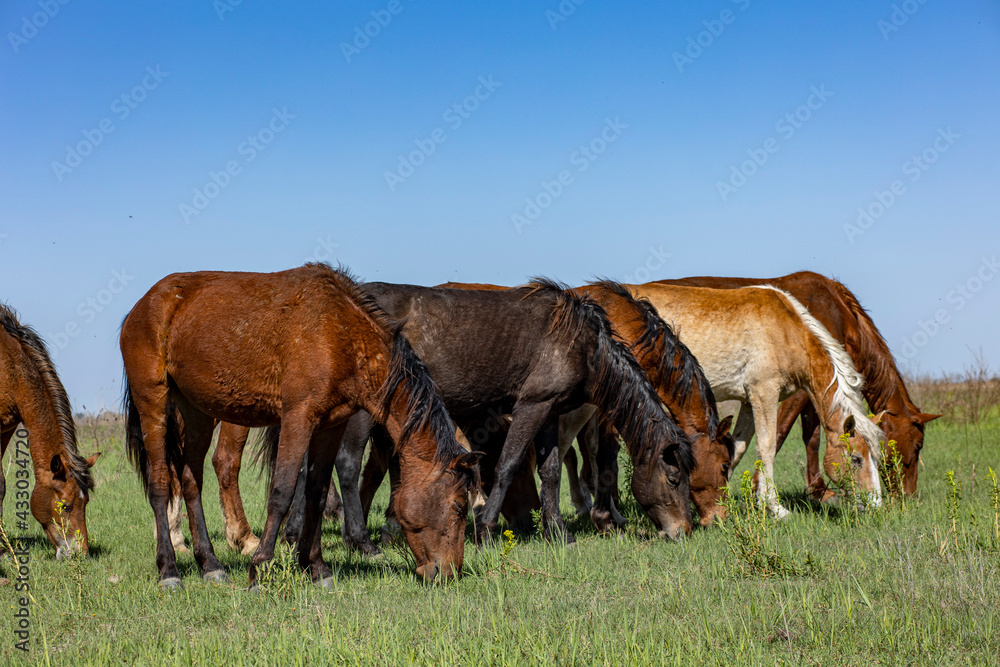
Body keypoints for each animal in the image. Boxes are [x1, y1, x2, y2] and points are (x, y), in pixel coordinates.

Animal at [121, 264, 480, 588]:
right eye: (459, 506)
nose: (449, 573)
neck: (341, 336)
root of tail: (143, 304)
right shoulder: (298, 417)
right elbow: (282, 492)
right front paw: (260, 568)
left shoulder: (331, 425)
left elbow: (316, 494)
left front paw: (316, 567)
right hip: (154, 404)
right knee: (160, 484)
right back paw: (169, 570)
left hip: (196, 412)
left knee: (191, 482)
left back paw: (211, 565)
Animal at [628, 284, 888, 520]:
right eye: (855, 459)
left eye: (876, 458)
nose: (875, 505)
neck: (786, 331)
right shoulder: (764, 393)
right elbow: (767, 448)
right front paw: (775, 508)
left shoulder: (748, 401)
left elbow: (737, 450)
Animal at [660, 272, 940, 496]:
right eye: (918, 446)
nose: (907, 495)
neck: (838, 312)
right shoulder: (796, 392)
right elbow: (782, 435)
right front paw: (763, 489)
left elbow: (810, 438)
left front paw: (815, 489)